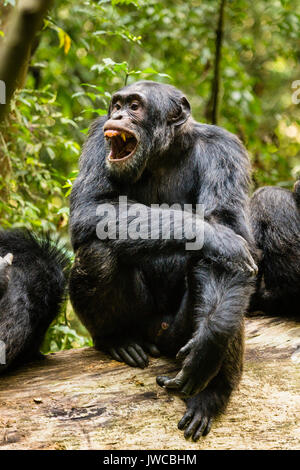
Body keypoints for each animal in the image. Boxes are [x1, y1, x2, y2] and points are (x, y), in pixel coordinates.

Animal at [68, 81, 258, 440]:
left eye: (135, 106)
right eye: (116, 104)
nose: (118, 115)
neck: (163, 154)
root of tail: (158, 335)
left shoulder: (225, 152)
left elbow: (229, 229)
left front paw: (211, 343)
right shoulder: (96, 139)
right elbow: (91, 206)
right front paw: (214, 236)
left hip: (177, 333)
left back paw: (212, 395)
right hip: (142, 323)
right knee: (98, 252)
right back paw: (118, 339)